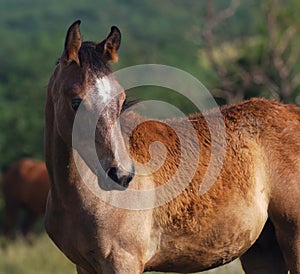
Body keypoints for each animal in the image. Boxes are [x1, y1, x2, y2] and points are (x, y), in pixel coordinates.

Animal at [44, 20, 300, 272]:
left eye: (121, 100)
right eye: (76, 101)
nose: (121, 174)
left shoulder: (123, 261)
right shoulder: (84, 266)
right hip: (263, 252)